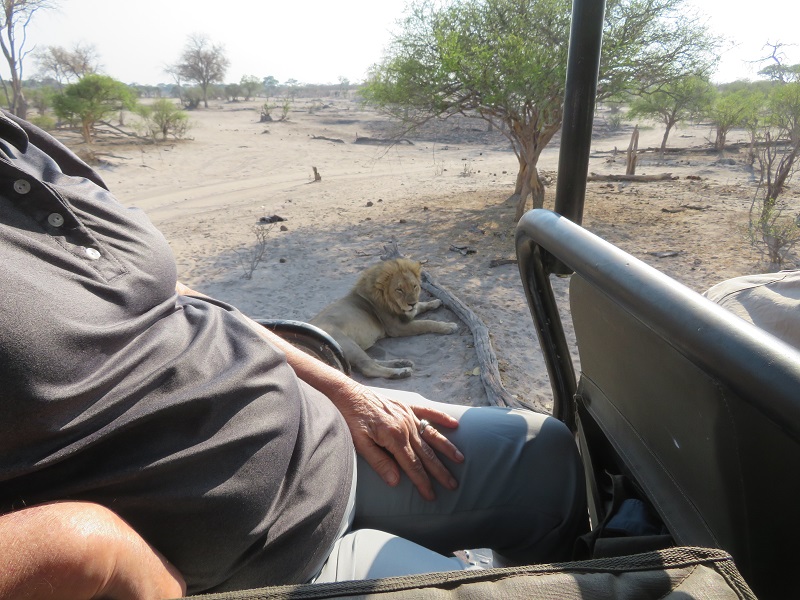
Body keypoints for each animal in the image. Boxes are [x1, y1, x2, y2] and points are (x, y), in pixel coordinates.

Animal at [310, 258, 458, 379]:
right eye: (399, 290)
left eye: (414, 286)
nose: (411, 303)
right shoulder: (396, 328)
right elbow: (426, 323)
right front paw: (449, 326)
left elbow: (422, 306)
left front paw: (436, 302)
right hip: (347, 344)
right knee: (368, 368)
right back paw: (401, 372)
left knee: (371, 361)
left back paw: (402, 362)